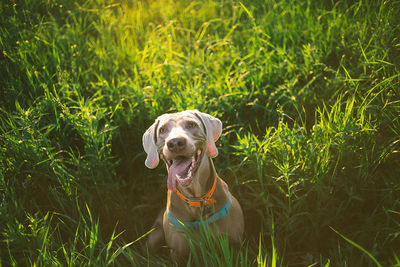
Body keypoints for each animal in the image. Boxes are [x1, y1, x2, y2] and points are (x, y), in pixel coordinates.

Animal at [142, 110, 245, 264]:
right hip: (154, 237)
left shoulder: (235, 243)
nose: (175, 143)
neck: (196, 199)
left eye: (191, 124)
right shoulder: (177, 253)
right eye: (162, 130)